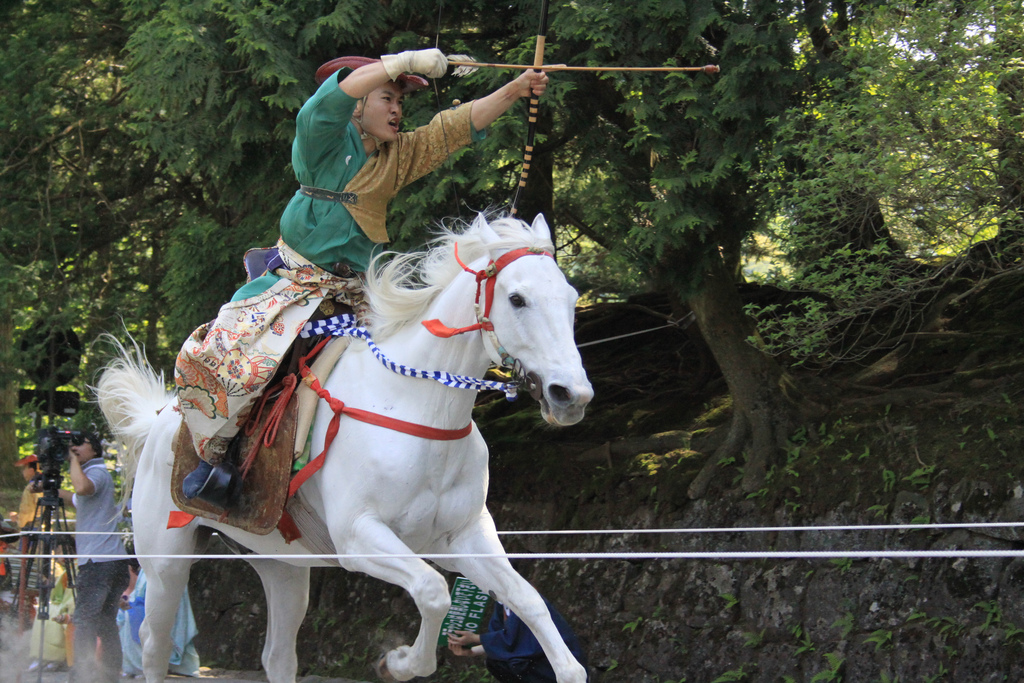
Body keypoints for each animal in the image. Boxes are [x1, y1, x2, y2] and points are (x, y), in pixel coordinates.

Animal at [97, 214, 593, 683]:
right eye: (517, 299)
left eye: (570, 299)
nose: (571, 395)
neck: (421, 410)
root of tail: (160, 421)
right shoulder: (359, 537)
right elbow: (433, 591)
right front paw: (397, 663)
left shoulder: (463, 537)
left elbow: (529, 601)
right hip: (166, 560)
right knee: (154, 645)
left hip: (280, 564)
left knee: (277, 657)